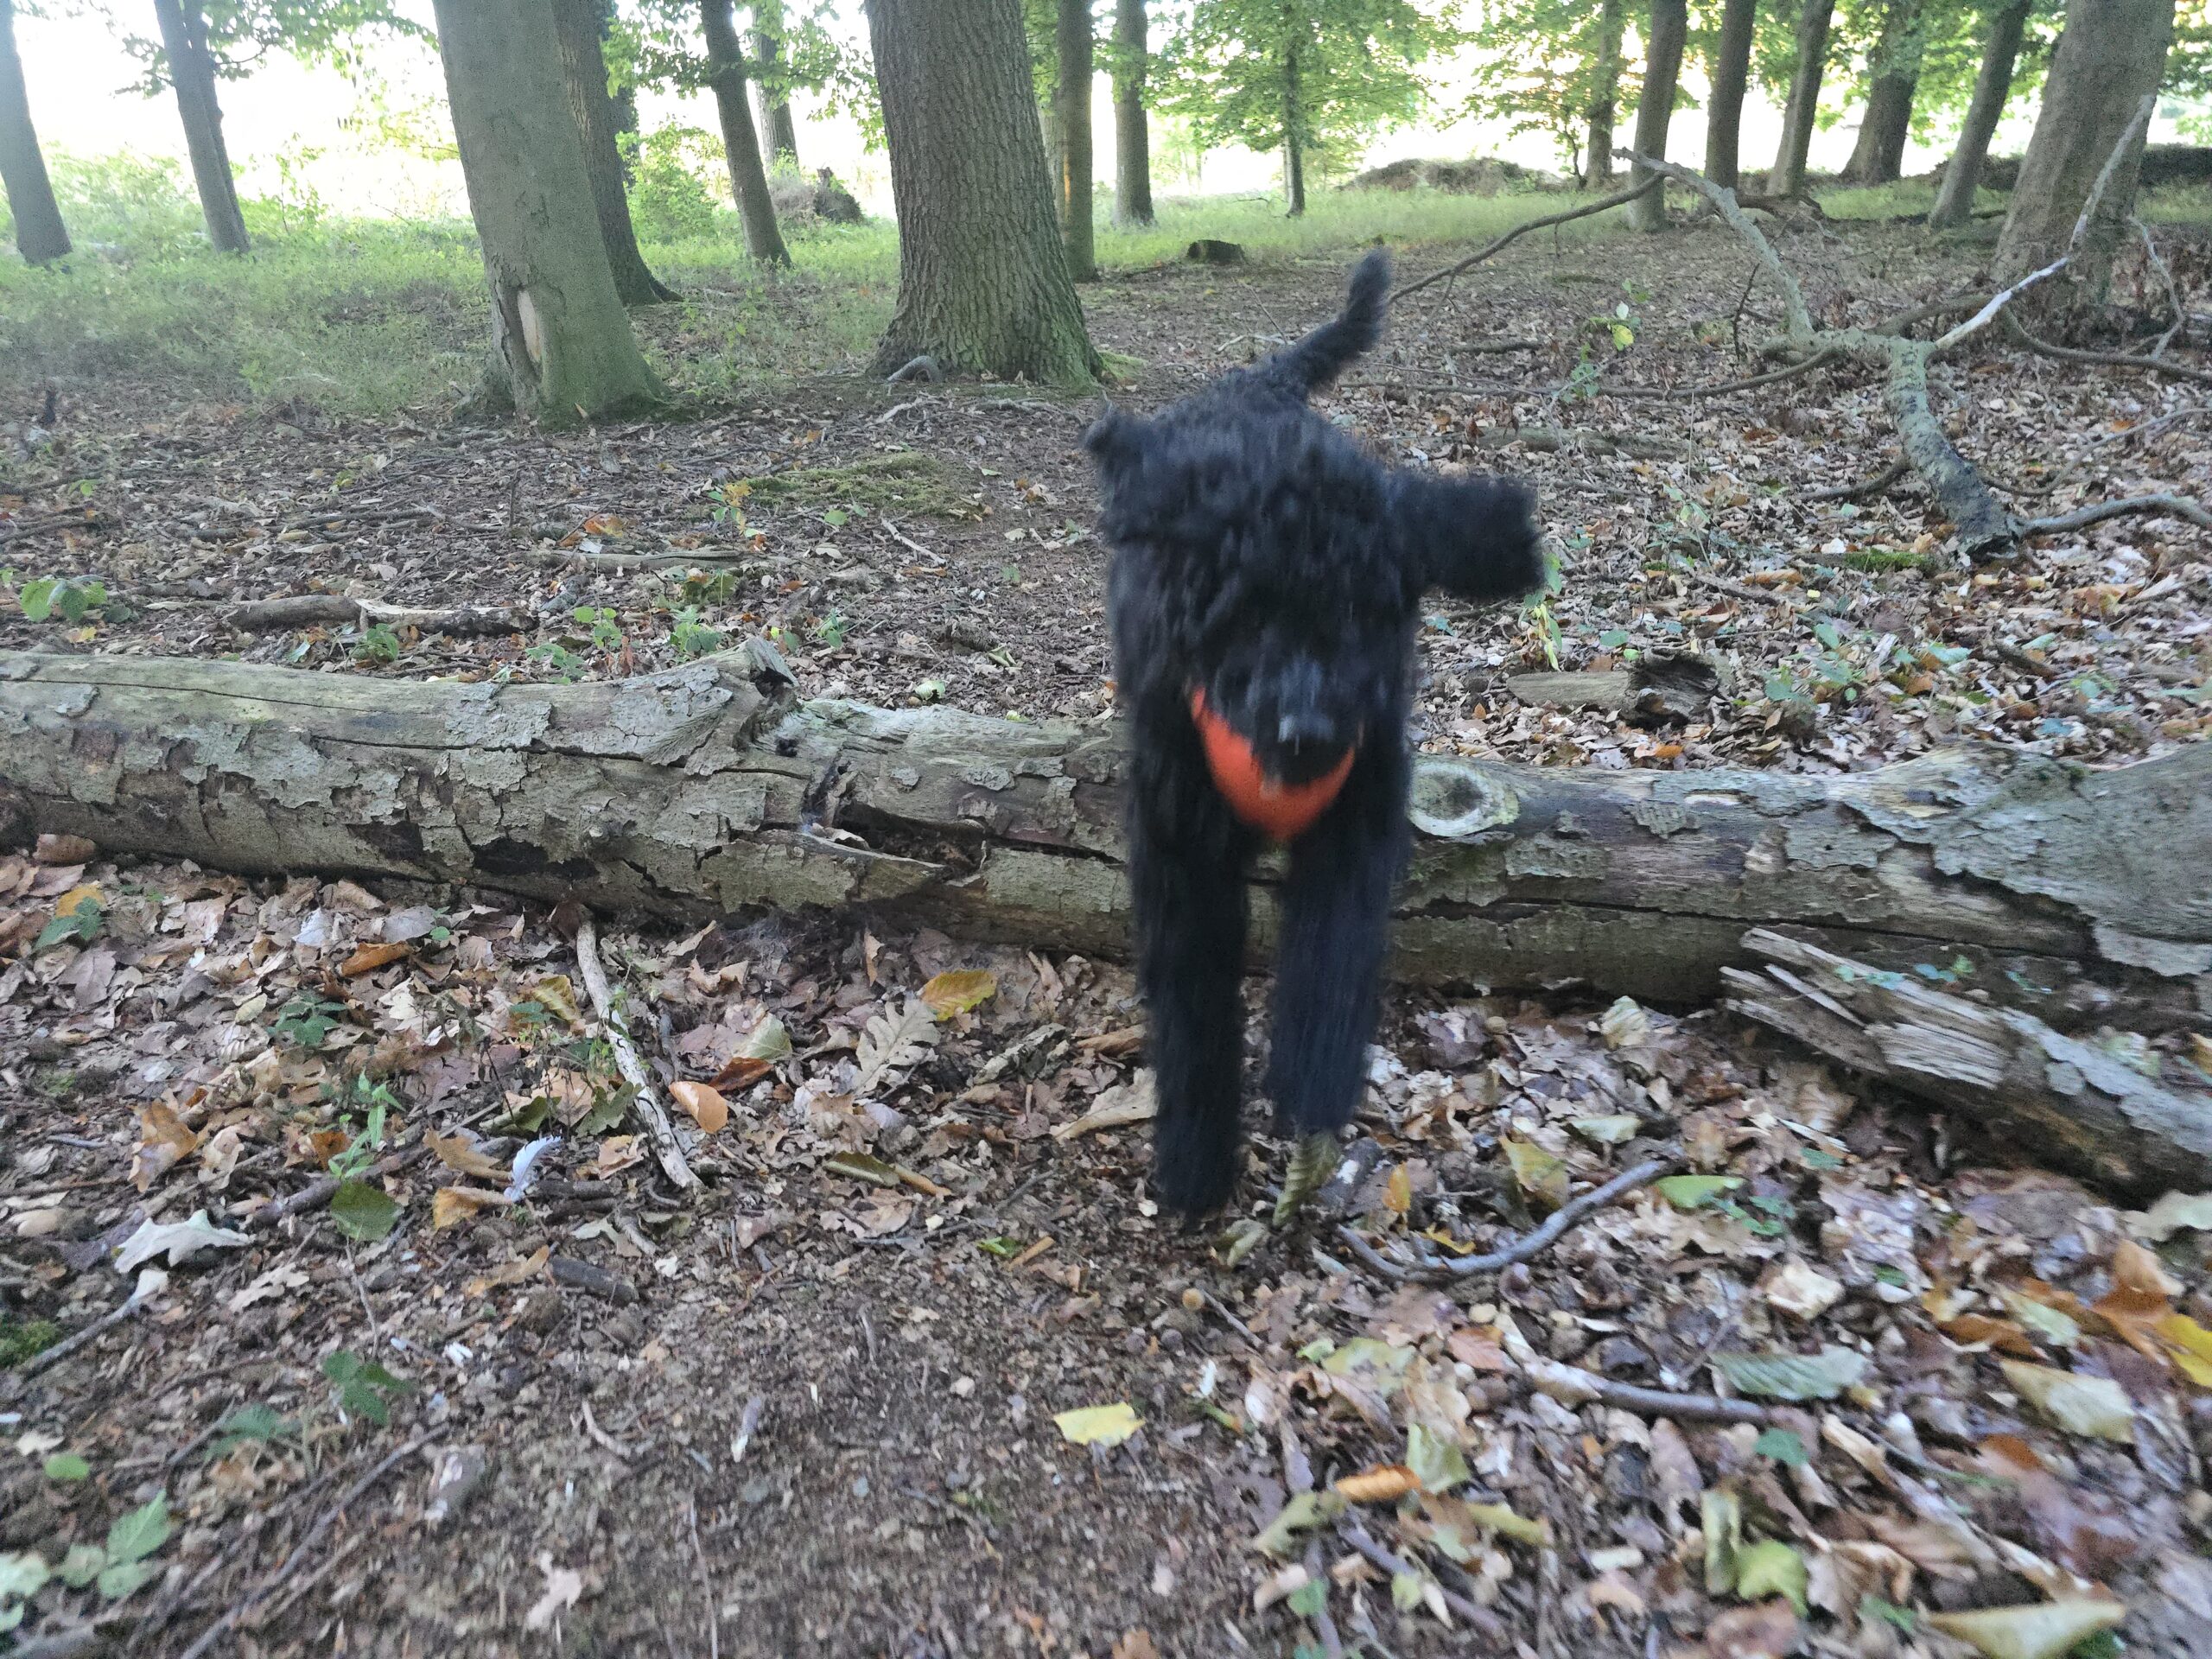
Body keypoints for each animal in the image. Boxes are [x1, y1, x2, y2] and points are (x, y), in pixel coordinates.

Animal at [1084, 250, 1547, 1218]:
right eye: (1240, 613)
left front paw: (1311, 1088)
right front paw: (1195, 1156)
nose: (1305, 732)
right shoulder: (1181, 842)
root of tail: (1254, 387)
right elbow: (1192, 1003)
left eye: (1364, 615)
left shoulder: (1361, 811)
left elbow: (1334, 952)